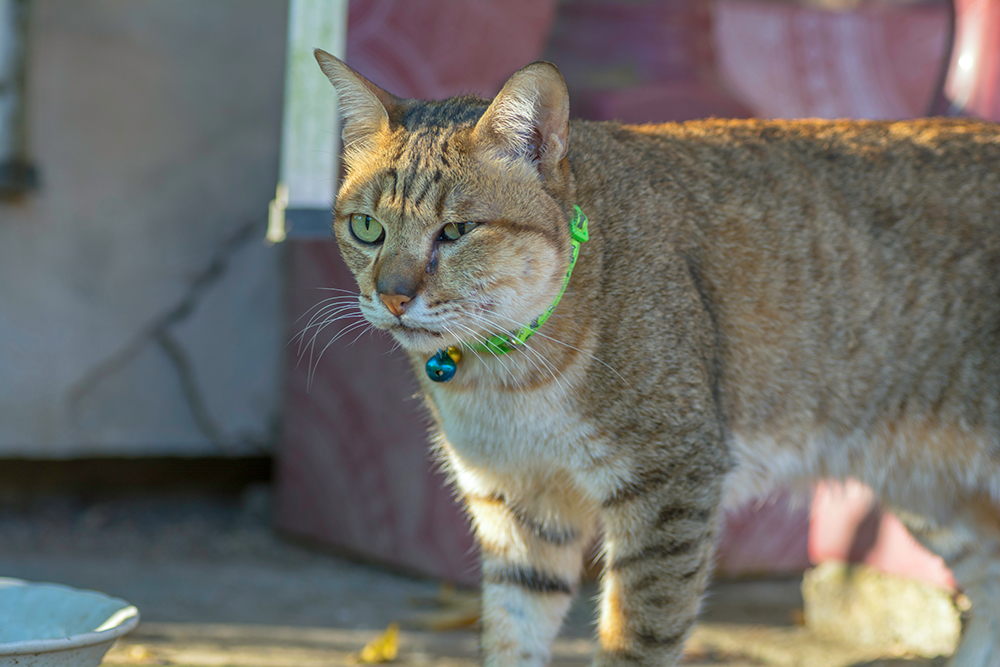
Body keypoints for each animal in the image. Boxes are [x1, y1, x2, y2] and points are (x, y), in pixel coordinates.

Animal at [312, 48, 1000, 667]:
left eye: (455, 231)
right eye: (367, 227)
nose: (392, 296)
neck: (506, 374)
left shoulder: (671, 484)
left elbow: (637, 639)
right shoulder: (518, 504)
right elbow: (512, 634)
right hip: (926, 487)